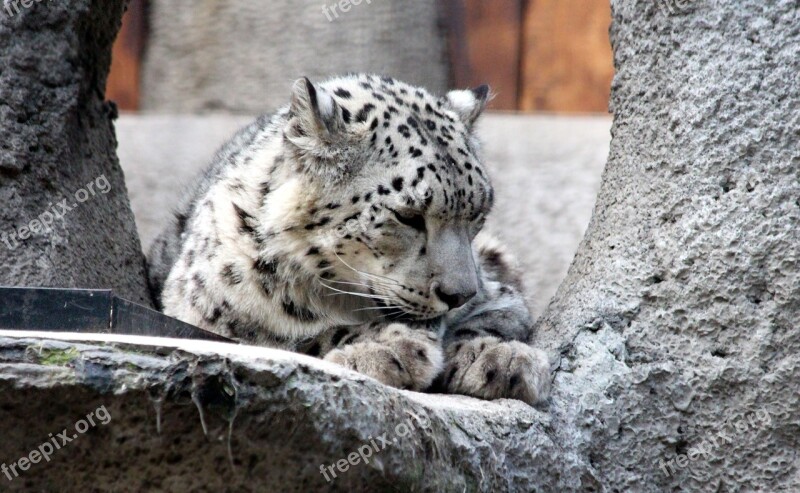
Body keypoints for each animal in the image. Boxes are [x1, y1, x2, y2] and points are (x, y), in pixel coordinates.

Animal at [147, 73, 552, 404]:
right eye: (408, 216)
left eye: (477, 214)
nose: (459, 295)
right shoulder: (207, 321)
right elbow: (295, 340)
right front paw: (390, 348)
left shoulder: (498, 290)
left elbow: (500, 315)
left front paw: (497, 358)